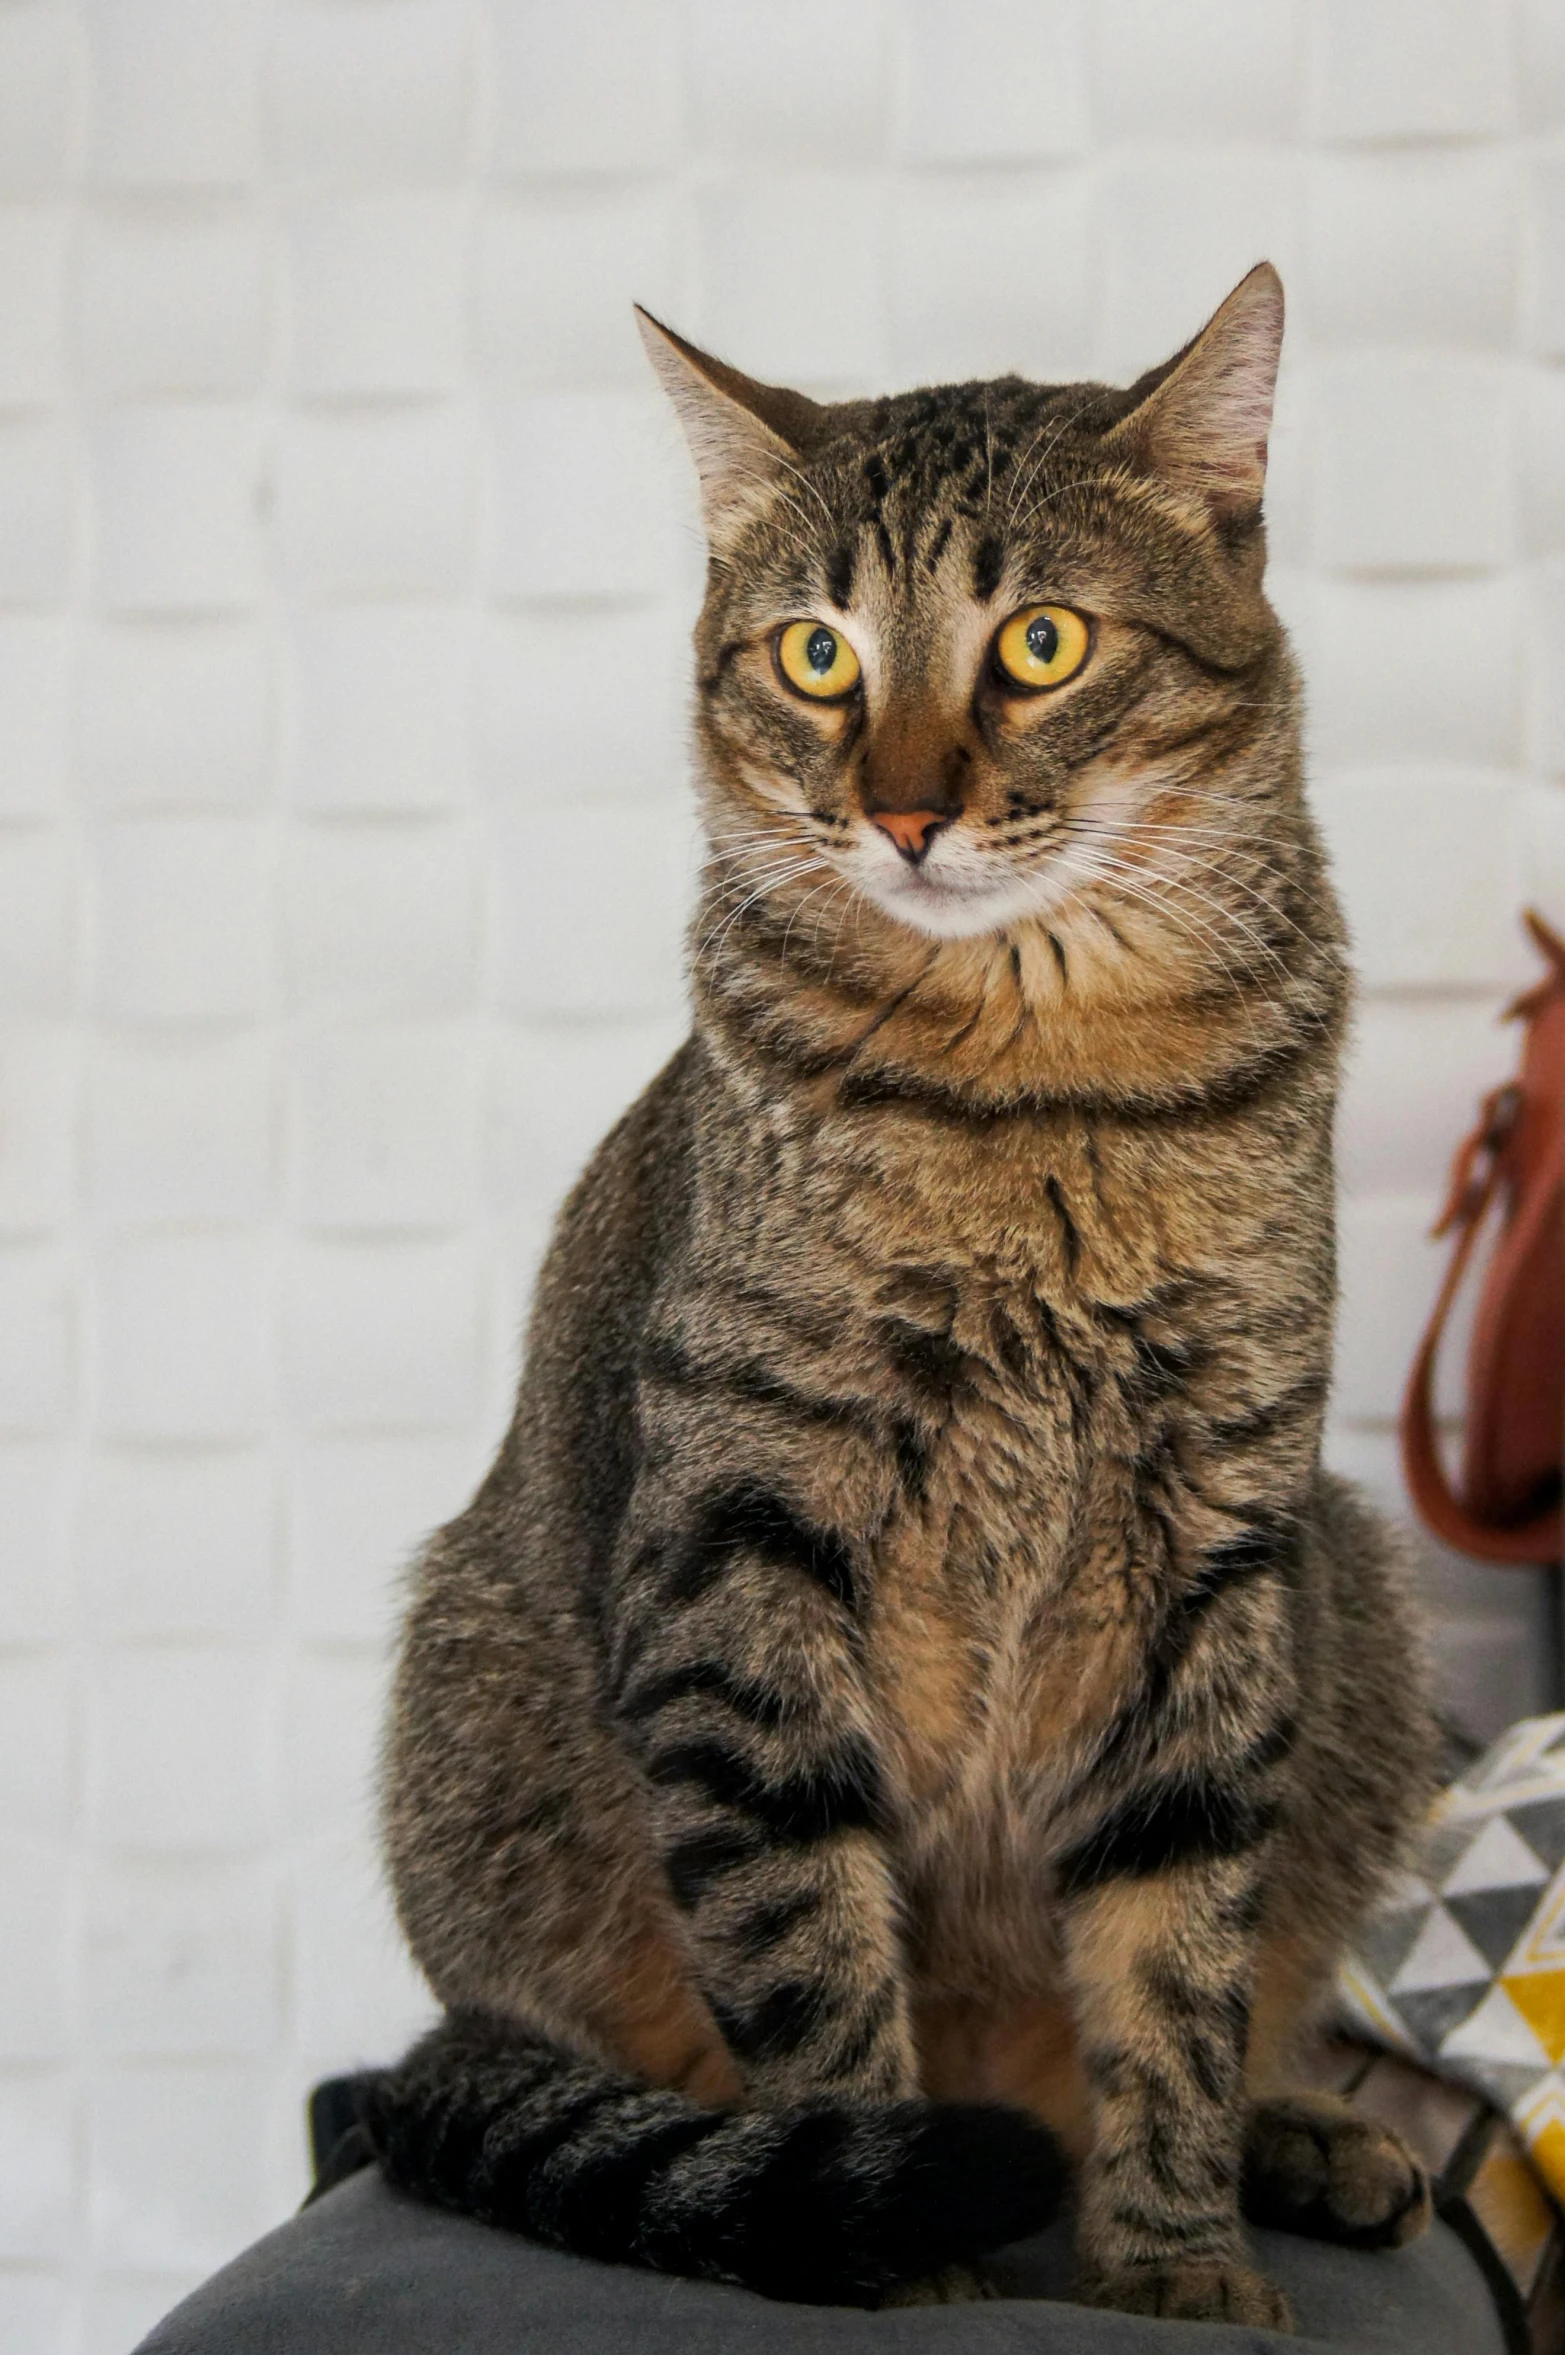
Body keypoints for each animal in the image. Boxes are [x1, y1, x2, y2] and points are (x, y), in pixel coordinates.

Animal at [362, 267, 1430, 2326]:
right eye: (815, 658)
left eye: (1039, 642)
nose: (907, 811)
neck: (1041, 1083)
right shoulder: (740, 1554)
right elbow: (813, 1961)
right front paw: (902, 2255)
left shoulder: (1221, 1543)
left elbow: (1180, 1965)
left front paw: (1177, 2254)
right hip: (472, 1705)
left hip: (1352, 1588)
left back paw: (1305, 2137)